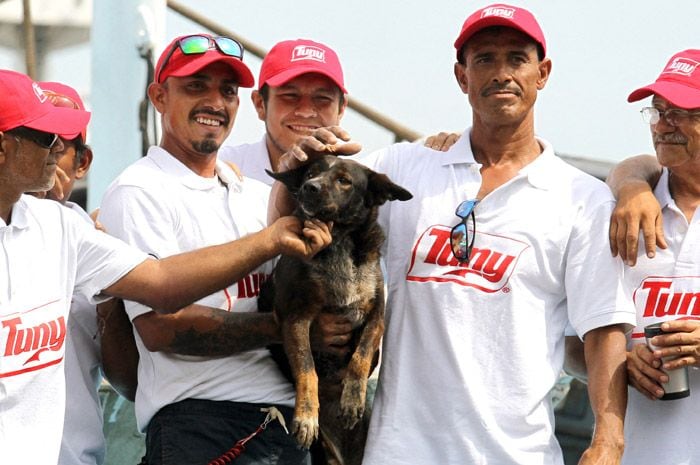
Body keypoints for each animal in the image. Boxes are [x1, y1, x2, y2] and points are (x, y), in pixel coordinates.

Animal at [258, 154, 410, 462]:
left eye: (344, 180)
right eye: (311, 173)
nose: (309, 187)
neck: (338, 240)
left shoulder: (376, 318)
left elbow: (360, 357)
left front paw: (352, 400)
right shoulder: (295, 319)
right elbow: (307, 368)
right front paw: (306, 417)